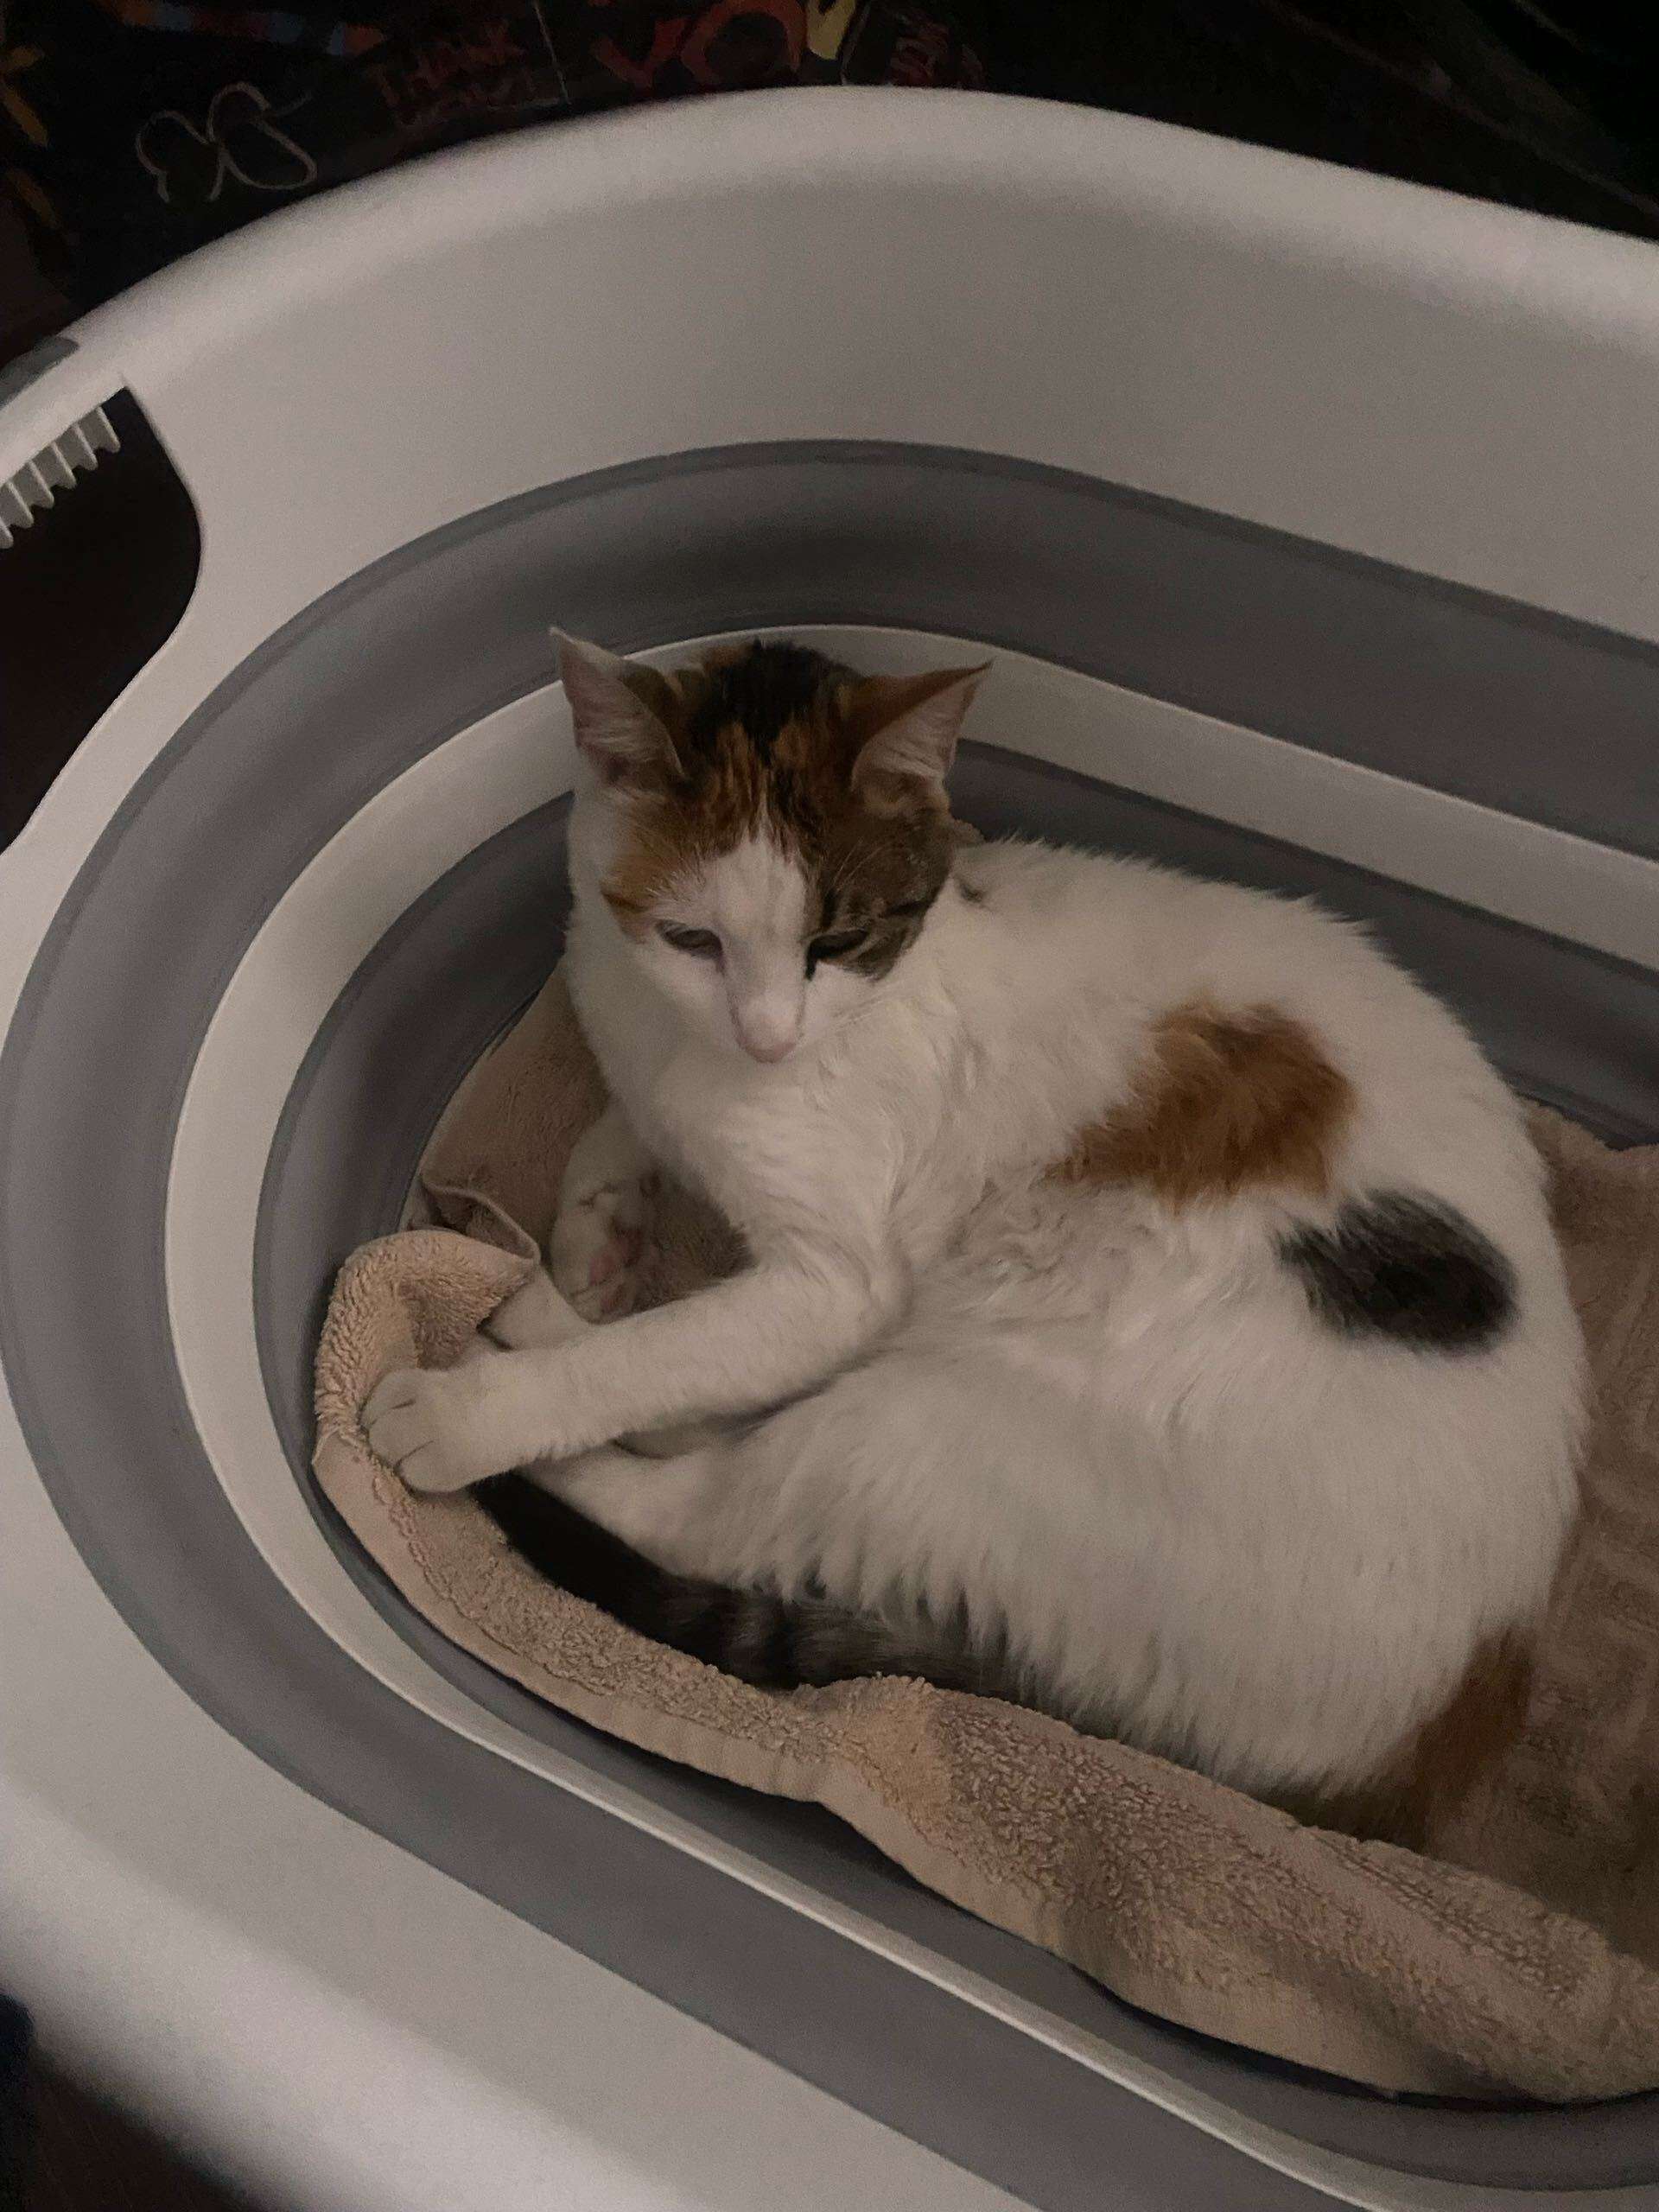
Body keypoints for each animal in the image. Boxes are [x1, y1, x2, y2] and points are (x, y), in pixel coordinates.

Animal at [365, 633, 1585, 1843]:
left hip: (933, 1423)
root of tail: (1411, 1766)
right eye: (691, 938)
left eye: (839, 939)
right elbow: (615, 1132)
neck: (695, 1050)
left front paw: (489, 1403)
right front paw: (601, 1229)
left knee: (699, 1510)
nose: (769, 1038)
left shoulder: (841, 1282)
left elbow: (646, 1362)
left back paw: (503, 1342)